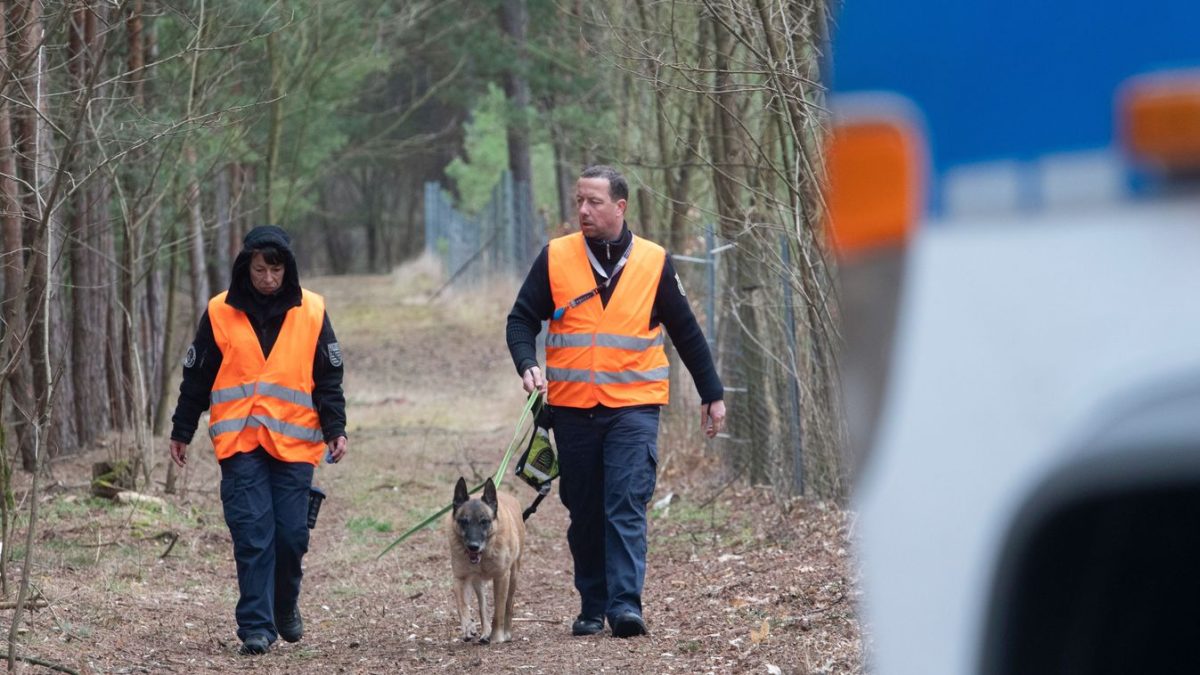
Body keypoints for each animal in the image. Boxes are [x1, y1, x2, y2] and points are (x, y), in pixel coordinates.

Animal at [451, 473, 525, 638]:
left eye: (484, 521)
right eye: (463, 521)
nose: (473, 546)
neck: (483, 558)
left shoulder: (502, 577)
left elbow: (499, 609)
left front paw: (497, 637)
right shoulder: (460, 578)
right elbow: (461, 604)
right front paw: (468, 626)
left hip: (514, 576)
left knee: (509, 604)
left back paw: (506, 632)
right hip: (477, 583)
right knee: (482, 606)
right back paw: (485, 632)